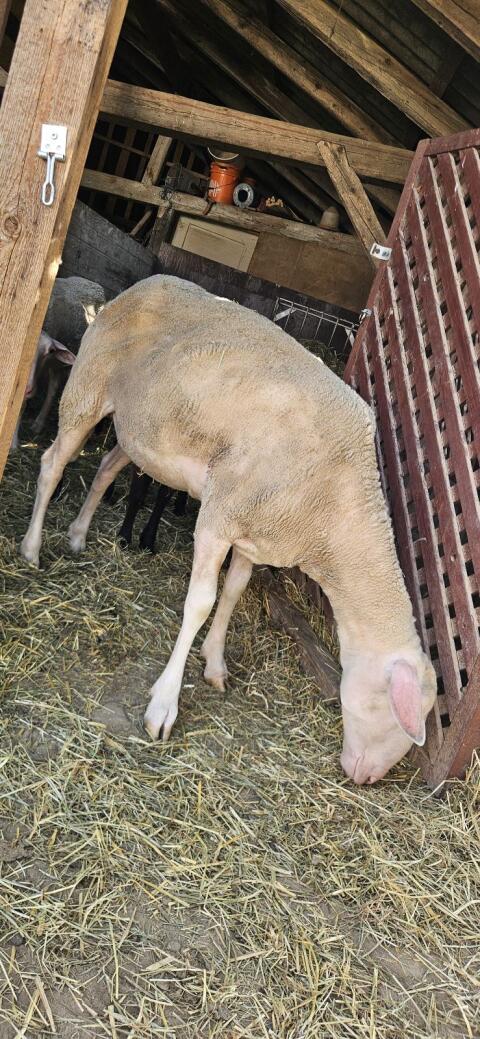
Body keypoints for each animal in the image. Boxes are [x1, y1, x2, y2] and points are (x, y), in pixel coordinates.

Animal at [20, 275, 437, 785]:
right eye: (395, 712)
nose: (366, 779)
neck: (334, 510)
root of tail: (149, 281)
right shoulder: (218, 520)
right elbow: (201, 603)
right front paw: (164, 706)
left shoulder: (258, 535)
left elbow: (235, 593)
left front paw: (215, 663)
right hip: (88, 387)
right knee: (52, 464)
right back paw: (32, 548)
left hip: (141, 427)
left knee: (104, 467)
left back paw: (78, 535)